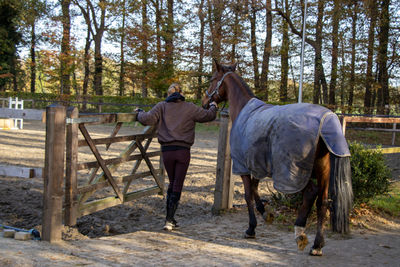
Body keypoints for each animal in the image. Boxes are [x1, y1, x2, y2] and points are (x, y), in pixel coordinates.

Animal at [203, 61, 354, 258]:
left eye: (213, 79)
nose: (205, 102)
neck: (244, 111)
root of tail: (326, 120)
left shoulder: (243, 166)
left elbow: (248, 194)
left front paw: (251, 228)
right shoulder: (257, 165)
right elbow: (255, 189)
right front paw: (265, 213)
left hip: (293, 173)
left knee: (310, 193)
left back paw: (300, 233)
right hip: (323, 172)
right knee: (322, 202)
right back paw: (317, 245)